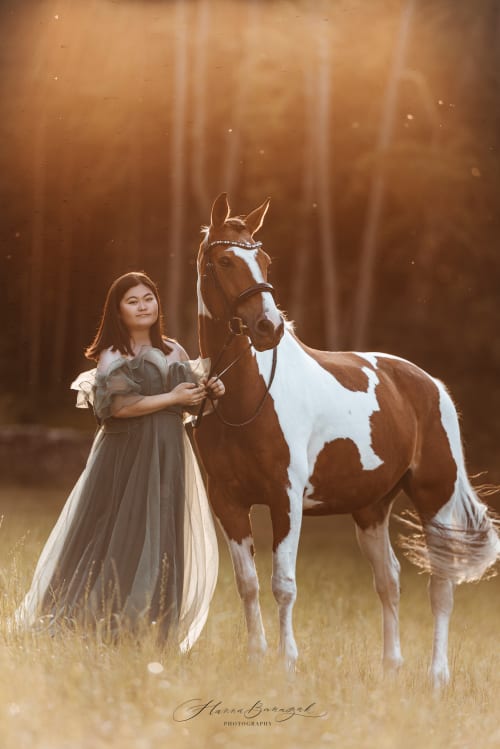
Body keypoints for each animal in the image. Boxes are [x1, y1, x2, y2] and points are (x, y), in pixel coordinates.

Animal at [193, 192, 499, 687]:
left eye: (264, 259)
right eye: (224, 260)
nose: (268, 327)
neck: (246, 397)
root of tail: (429, 383)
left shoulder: (286, 499)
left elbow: (283, 585)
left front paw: (287, 663)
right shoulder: (228, 502)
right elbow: (248, 583)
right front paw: (257, 659)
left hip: (434, 499)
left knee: (441, 586)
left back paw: (437, 676)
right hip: (371, 508)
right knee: (389, 580)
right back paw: (391, 668)